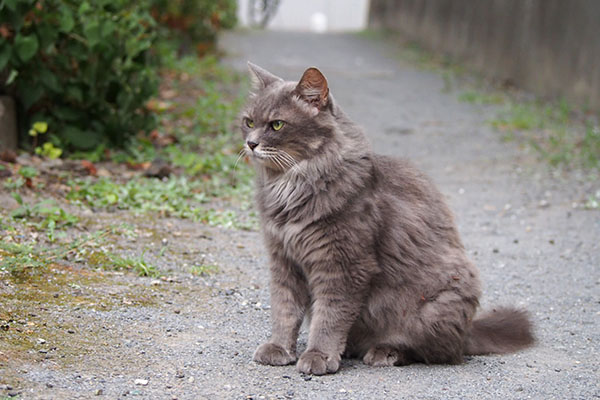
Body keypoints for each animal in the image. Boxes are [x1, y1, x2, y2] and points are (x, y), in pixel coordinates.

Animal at [240, 62, 536, 376]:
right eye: (249, 122)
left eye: (277, 125)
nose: (251, 143)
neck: (290, 184)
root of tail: (467, 330)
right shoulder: (283, 260)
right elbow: (284, 310)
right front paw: (279, 349)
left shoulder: (344, 265)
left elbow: (329, 316)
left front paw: (318, 355)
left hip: (437, 305)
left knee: (436, 352)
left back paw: (386, 352)